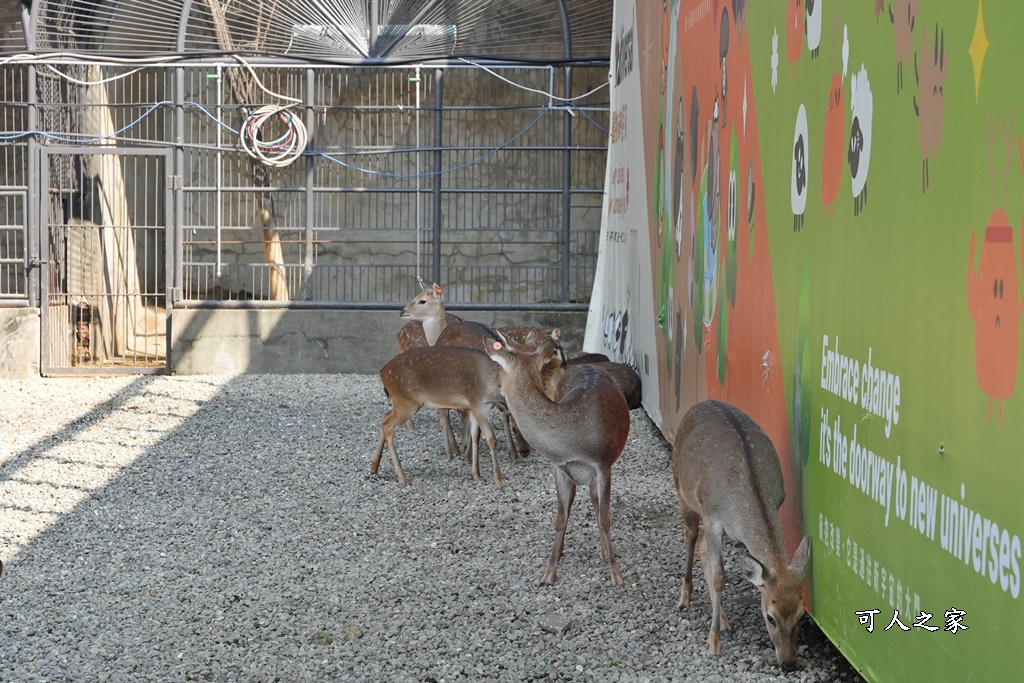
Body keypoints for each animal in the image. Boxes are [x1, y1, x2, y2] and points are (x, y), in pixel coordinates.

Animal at [483, 331, 626, 589]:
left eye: (499, 372)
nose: (496, 394)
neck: (571, 443)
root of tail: (587, 364)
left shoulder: (603, 463)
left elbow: (605, 519)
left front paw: (616, 574)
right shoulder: (560, 468)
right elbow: (560, 518)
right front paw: (548, 574)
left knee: (595, 501)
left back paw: (604, 551)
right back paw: (562, 552)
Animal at [675, 397, 811, 671]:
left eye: (802, 615)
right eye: (770, 618)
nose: (789, 663)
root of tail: (701, 402)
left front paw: (720, 630)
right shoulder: (713, 517)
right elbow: (719, 576)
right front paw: (713, 645)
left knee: (702, 546)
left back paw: (725, 622)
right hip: (681, 489)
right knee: (691, 536)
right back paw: (685, 598)